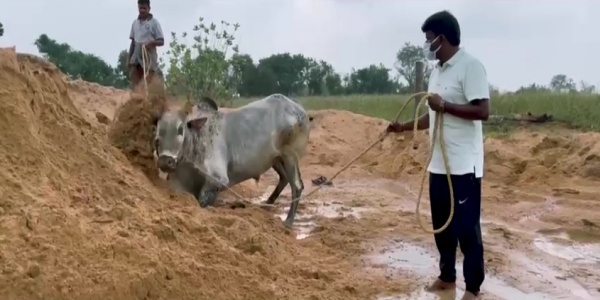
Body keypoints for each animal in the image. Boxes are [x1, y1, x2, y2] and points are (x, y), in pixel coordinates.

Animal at [152, 95, 312, 226]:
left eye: (180, 129)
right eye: (158, 132)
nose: (165, 161)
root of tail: (301, 111)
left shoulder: (217, 180)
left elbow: (203, 203)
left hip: (290, 156)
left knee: (297, 185)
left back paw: (288, 221)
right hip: (276, 159)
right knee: (284, 178)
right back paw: (267, 204)